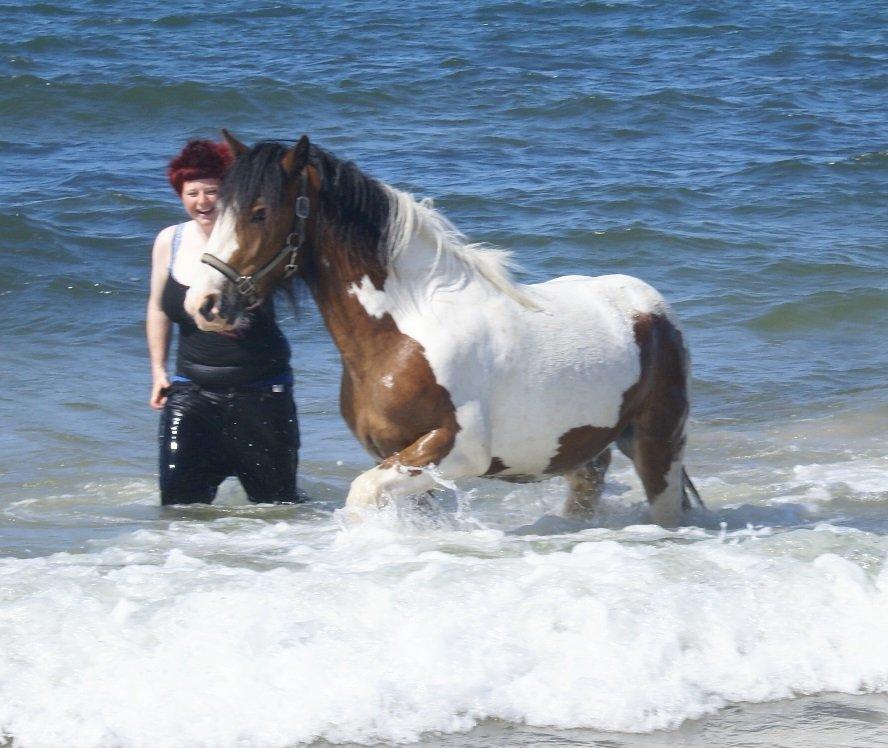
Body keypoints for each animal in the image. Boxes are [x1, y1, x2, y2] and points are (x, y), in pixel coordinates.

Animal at [184, 130, 704, 524]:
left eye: (259, 212)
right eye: (219, 209)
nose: (203, 304)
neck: (403, 334)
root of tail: (655, 310)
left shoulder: (456, 450)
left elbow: (361, 495)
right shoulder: (399, 457)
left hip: (658, 444)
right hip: (587, 453)